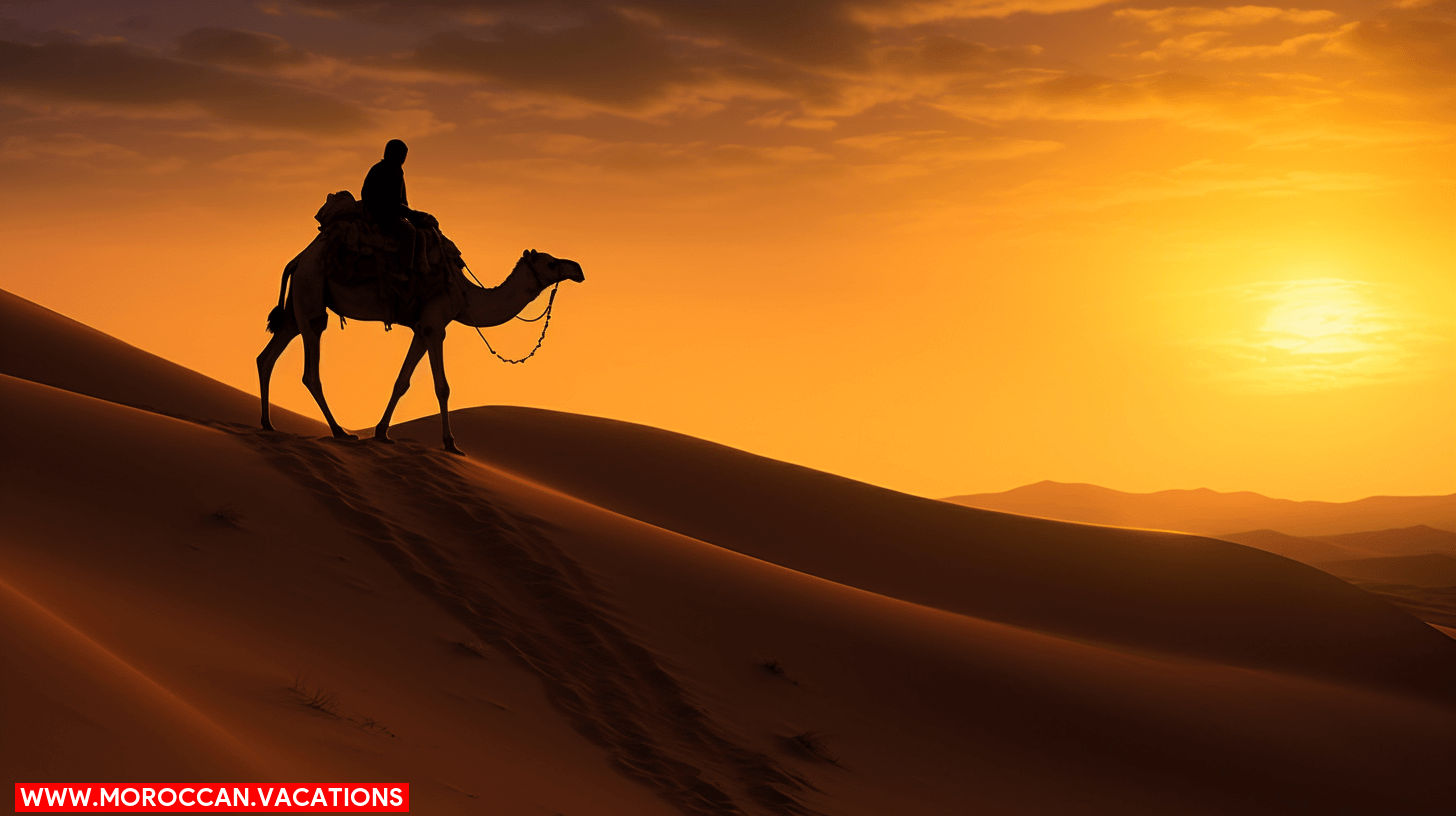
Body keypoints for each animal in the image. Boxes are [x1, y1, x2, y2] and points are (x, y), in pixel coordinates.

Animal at [259, 236, 582, 451]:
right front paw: (450, 443)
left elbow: (402, 382)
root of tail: (298, 260)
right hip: (311, 295)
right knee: (310, 372)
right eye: (551, 263)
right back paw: (340, 432)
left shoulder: (421, 328)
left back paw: (267, 423)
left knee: (267, 356)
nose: (577, 269)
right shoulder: (435, 326)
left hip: (297, 307)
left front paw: (381, 433)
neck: (464, 295)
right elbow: (442, 387)